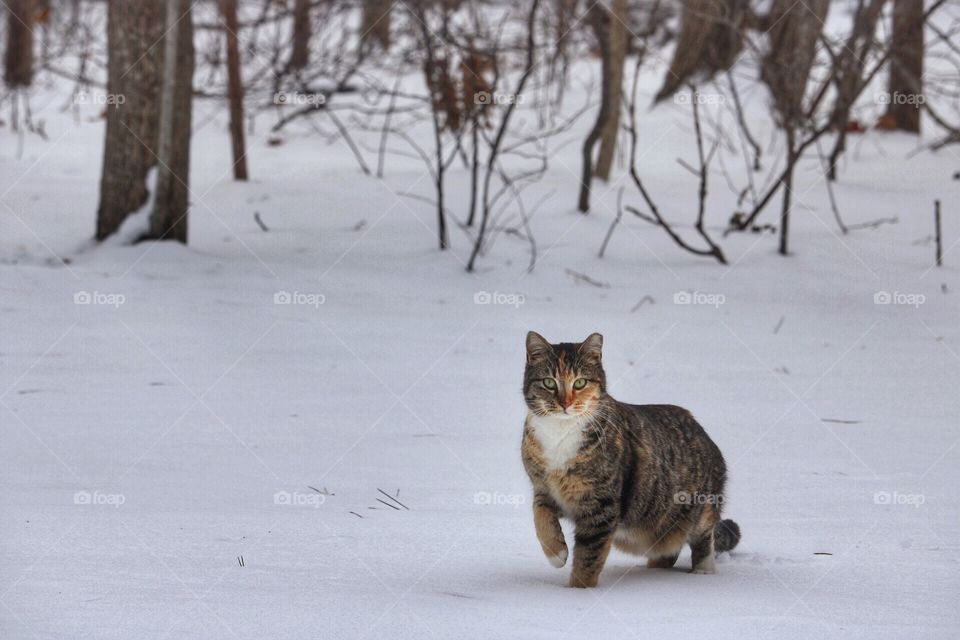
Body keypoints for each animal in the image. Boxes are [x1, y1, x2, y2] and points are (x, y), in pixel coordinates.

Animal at [520, 332, 740, 588]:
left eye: (580, 383)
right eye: (549, 382)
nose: (565, 403)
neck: (560, 434)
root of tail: (704, 434)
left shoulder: (601, 505)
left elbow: (588, 556)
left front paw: (578, 590)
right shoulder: (543, 488)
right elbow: (540, 517)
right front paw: (556, 553)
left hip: (699, 508)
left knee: (703, 538)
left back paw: (702, 573)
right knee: (668, 552)